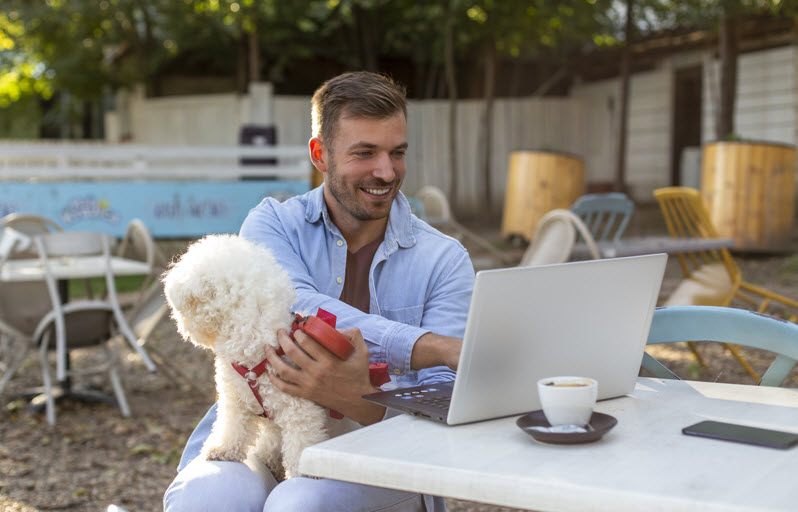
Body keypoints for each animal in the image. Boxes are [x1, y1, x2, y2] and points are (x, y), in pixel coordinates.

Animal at [163, 234, 350, 478]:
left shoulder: (300, 411)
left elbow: (300, 446)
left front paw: (304, 474)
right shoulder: (236, 400)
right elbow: (232, 428)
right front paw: (223, 450)